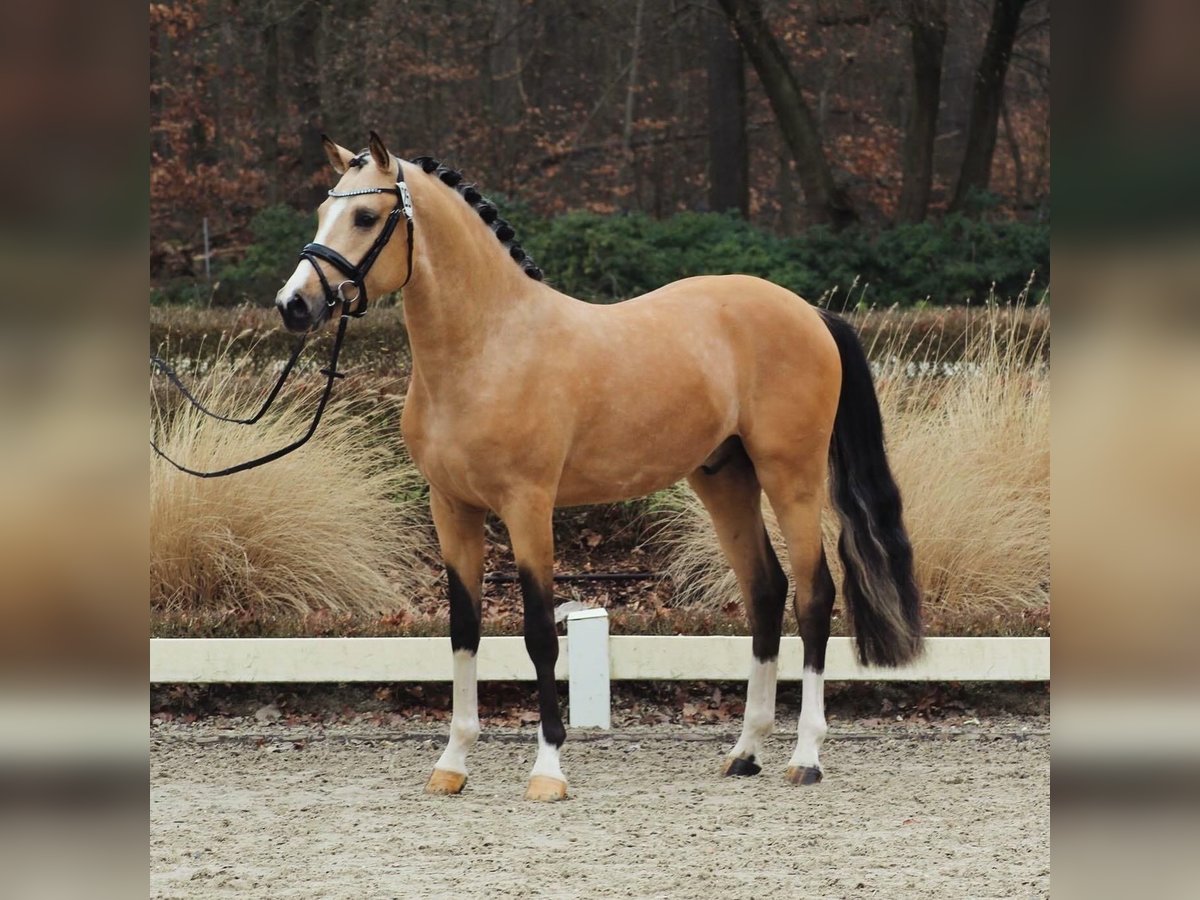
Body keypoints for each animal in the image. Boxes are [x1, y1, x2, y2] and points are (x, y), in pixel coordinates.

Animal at [278, 133, 916, 801]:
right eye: (322, 212)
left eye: (365, 216)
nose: (293, 305)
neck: (489, 347)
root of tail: (811, 314)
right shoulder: (451, 508)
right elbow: (463, 630)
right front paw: (452, 763)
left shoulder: (528, 507)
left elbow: (537, 633)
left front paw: (548, 769)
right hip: (725, 479)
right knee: (766, 591)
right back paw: (745, 752)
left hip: (792, 476)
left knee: (815, 596)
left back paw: (806, 755)